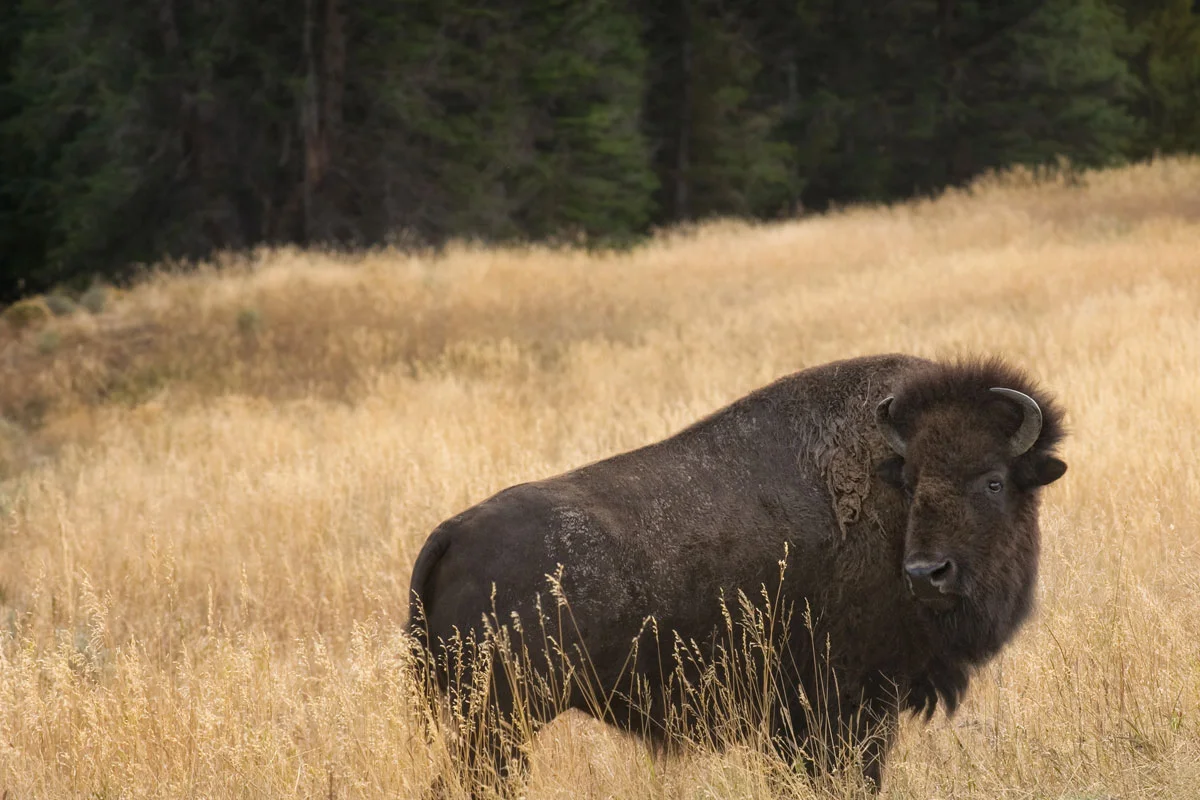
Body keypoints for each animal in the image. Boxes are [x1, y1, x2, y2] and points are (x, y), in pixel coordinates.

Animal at [407, 353, 1068, 793]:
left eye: (993, 480)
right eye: (910, 480)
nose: (929, 573)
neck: (887, 510)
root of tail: (453, 532)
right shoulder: (846, 704)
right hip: (499, 720)